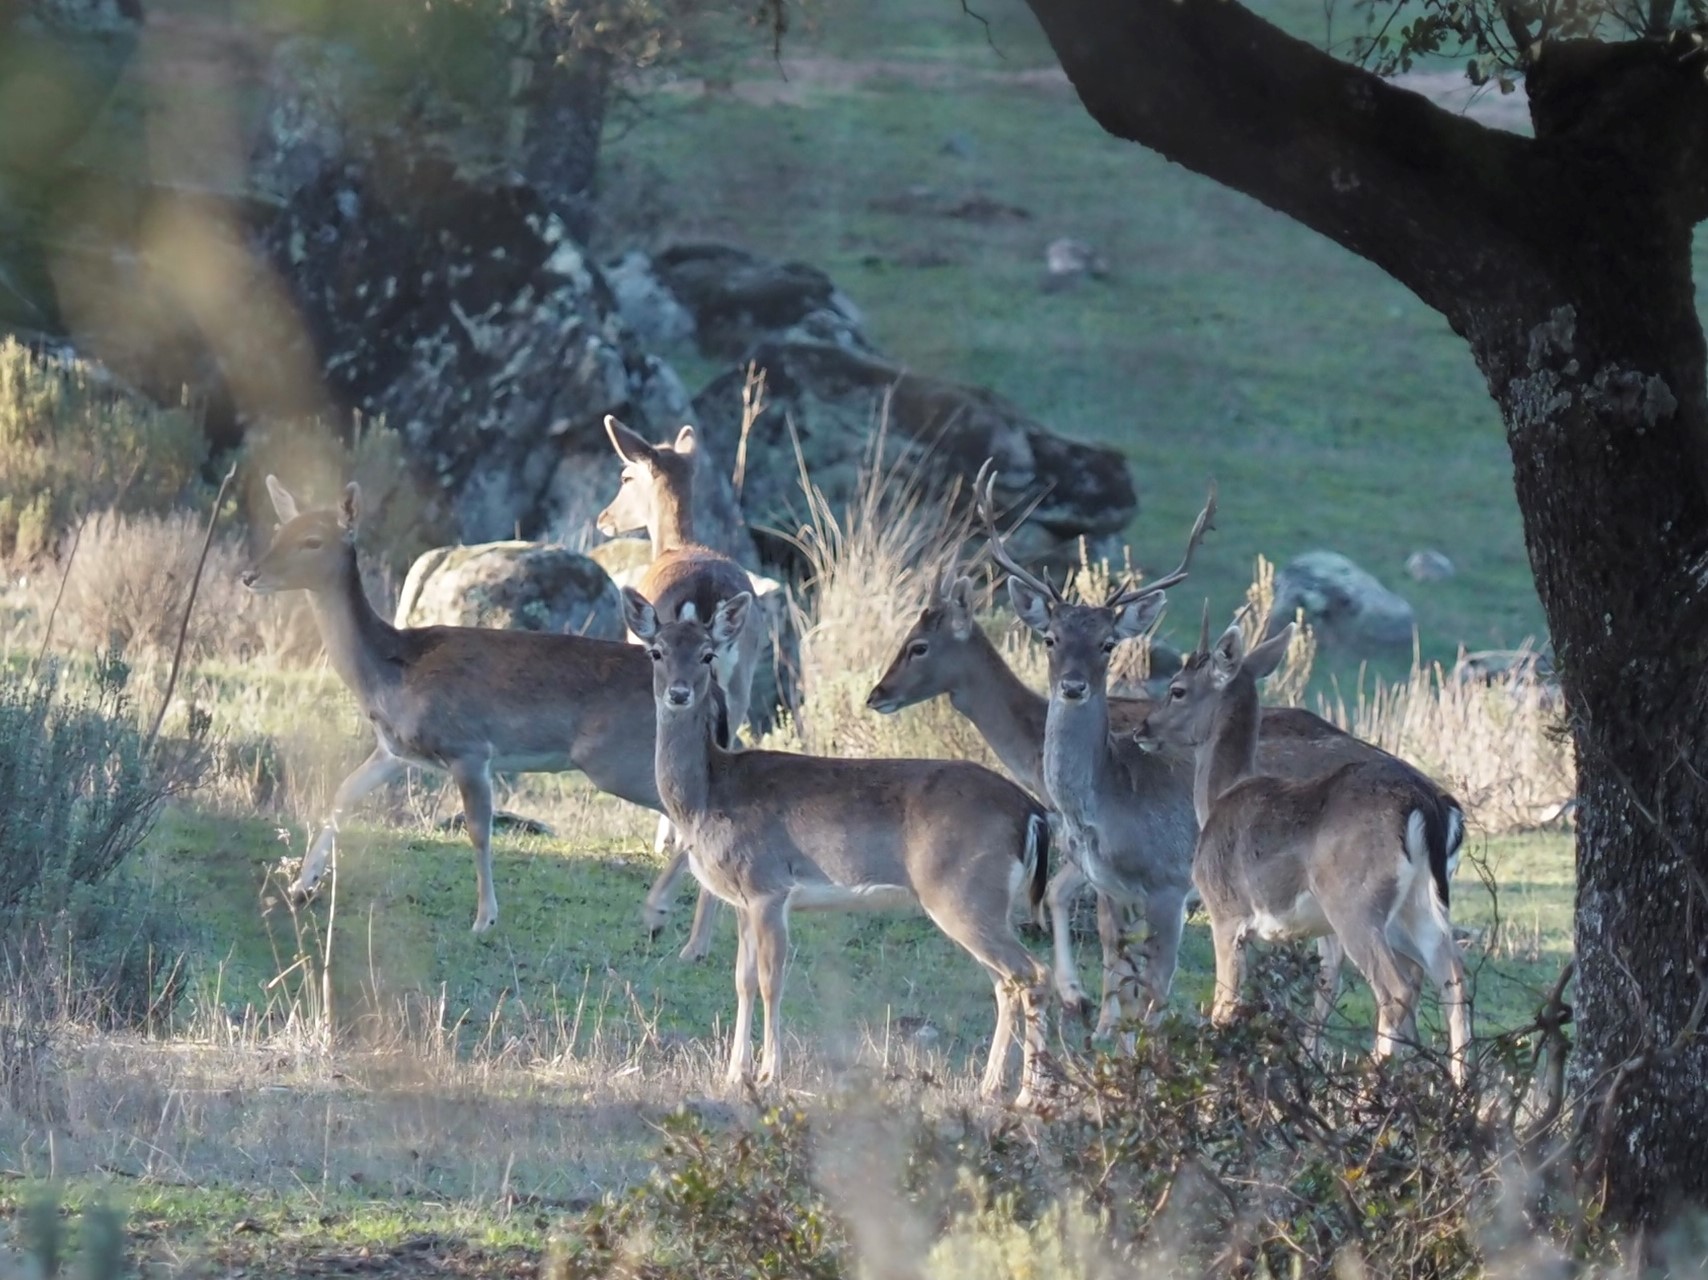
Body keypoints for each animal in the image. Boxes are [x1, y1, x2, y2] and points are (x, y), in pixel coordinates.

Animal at [244, 475, 703, 936]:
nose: (250, 574)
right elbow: (343, 792)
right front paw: (303, 885)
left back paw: (661, 910)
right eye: (279, 531)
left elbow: (479, 830)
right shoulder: (396, 749)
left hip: (616, 758)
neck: (392, 671)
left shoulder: (468, 746)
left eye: (312, 540)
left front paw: (485, 918)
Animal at [628, 584, 1052, 1100]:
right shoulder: (743, 900)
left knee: (1032, 973)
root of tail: (1032, 812)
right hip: (984, 902)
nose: (679, 693)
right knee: (1007, 981)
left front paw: (769, 1073)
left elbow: (771, 980)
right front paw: (734, 1073)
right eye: (656, 651)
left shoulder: (769, 886)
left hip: (965, 893)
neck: (707, 794)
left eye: (708, 654)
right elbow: (742, 980)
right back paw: (990, 1085)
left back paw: (1030, 1093)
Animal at [1134, 618, 1468, 1080]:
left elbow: (1224, 1006)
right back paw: (1460, 1086)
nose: (1142, 729)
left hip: (1355, 902)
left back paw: (1371, 1085)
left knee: (1396, 988)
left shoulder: (1225, 910)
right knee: (1453, 975)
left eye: (1177, 689)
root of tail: (1430, 806)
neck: (1219, 797)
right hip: (1419, 904)